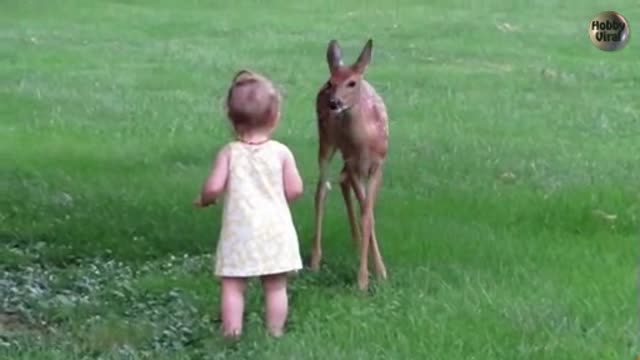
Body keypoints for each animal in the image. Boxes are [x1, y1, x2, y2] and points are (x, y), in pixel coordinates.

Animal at [308, 38, 388, 292]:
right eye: (331, 82)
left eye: (352, 83)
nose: (334, 103)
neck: (366, 142)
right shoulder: (353, 164)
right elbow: (366, 211)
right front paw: (363, 279)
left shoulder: (377, 167)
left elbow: (368, 213)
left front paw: (379, 271)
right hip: (327, 142)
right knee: (322, 190)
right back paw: (315, 260)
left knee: (341, 182)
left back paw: (357, 240)